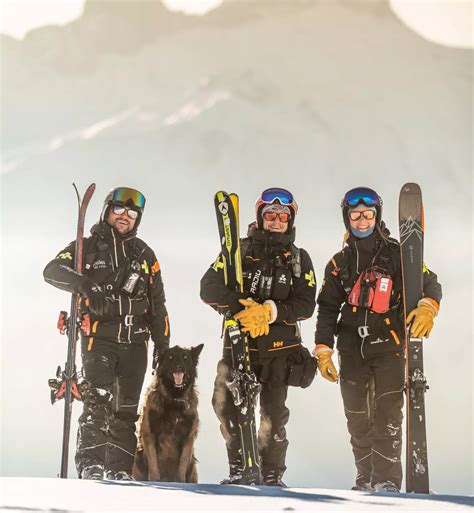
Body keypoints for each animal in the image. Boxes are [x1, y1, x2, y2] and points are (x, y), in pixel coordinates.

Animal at [132, 344, 203, 480]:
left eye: (185, 357)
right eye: (170, 357)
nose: (179, 367)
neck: (174, 400)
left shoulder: (188, 437)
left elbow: (182, 466)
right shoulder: (149, 434)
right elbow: (154, 466)